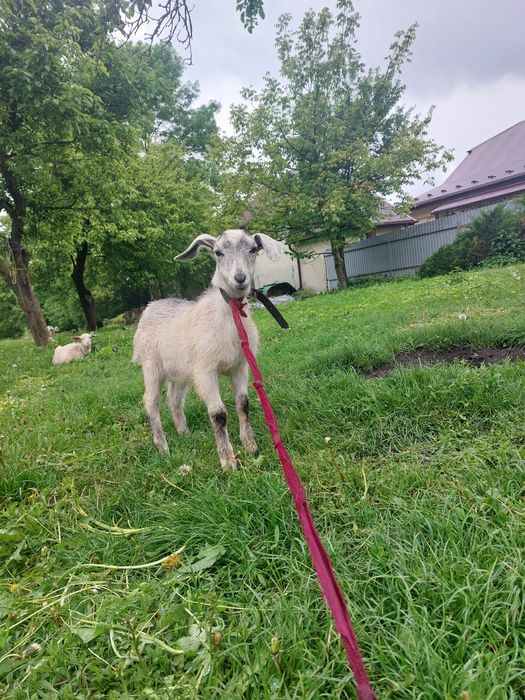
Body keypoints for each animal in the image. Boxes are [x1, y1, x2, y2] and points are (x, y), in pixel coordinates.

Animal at [132, 229, 282, 469]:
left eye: (252, 249)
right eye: (218, 252)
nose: (240, 278)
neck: (227, 317)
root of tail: (150, 306)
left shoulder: (239, 367)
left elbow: (243, 404)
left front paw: (251, 446)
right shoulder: (205, 372)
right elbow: (219, 414)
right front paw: (228, 460)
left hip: (180, 371)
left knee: (174, 399)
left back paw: (184, 432)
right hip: (151, 366)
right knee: (151, 402)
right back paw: (162, 447)